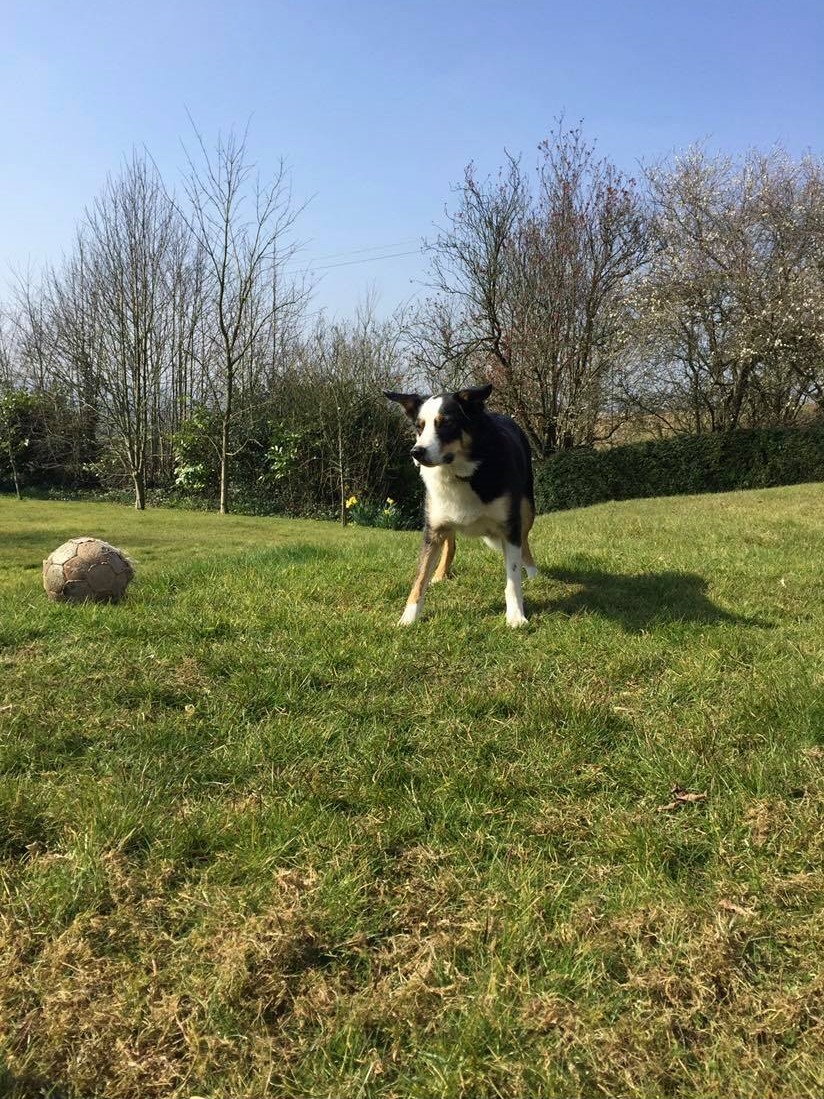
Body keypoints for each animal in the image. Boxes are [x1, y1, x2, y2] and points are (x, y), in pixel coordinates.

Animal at [386, 384, 538, 628]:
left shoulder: (510, 525)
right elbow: (420, 577)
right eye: (419, 426)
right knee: (450, 545)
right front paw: (408, 617)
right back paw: (440, 574)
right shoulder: (432, 530)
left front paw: (515, 616)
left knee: (525, 540)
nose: (416, 452)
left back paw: (532, 571)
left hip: (527, 507)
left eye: (446, 423)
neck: (461, 473)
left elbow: (513, 577)